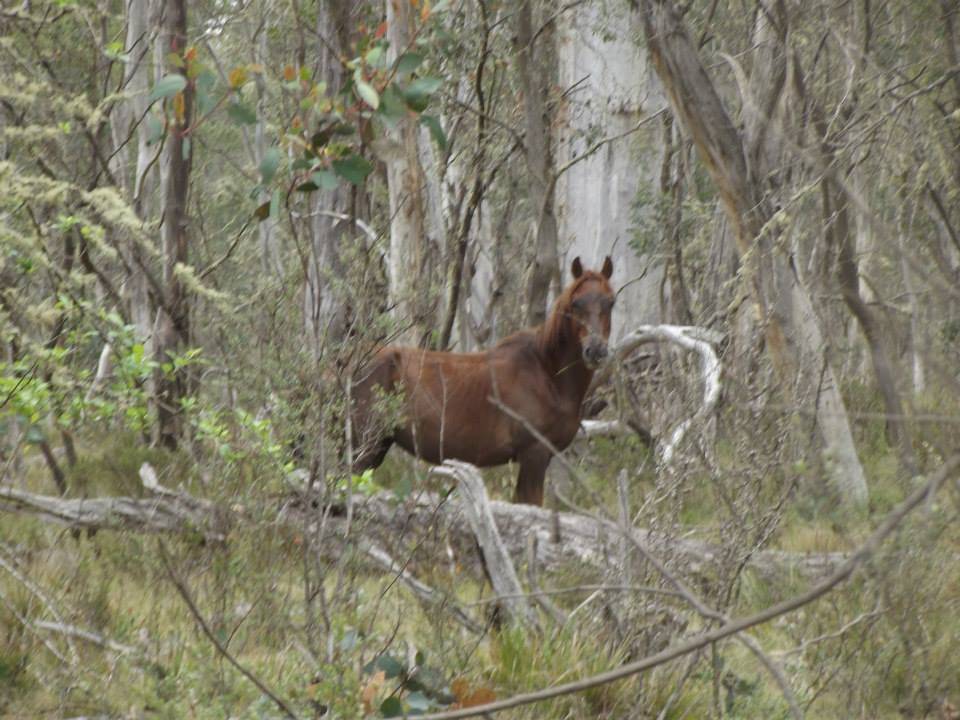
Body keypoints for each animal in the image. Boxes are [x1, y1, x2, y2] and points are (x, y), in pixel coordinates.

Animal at [352, 256, 616, 504]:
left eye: (611, 302)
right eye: (576, 303)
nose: (595, 350)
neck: (545, 372)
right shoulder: (534, 455)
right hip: (364, 447)